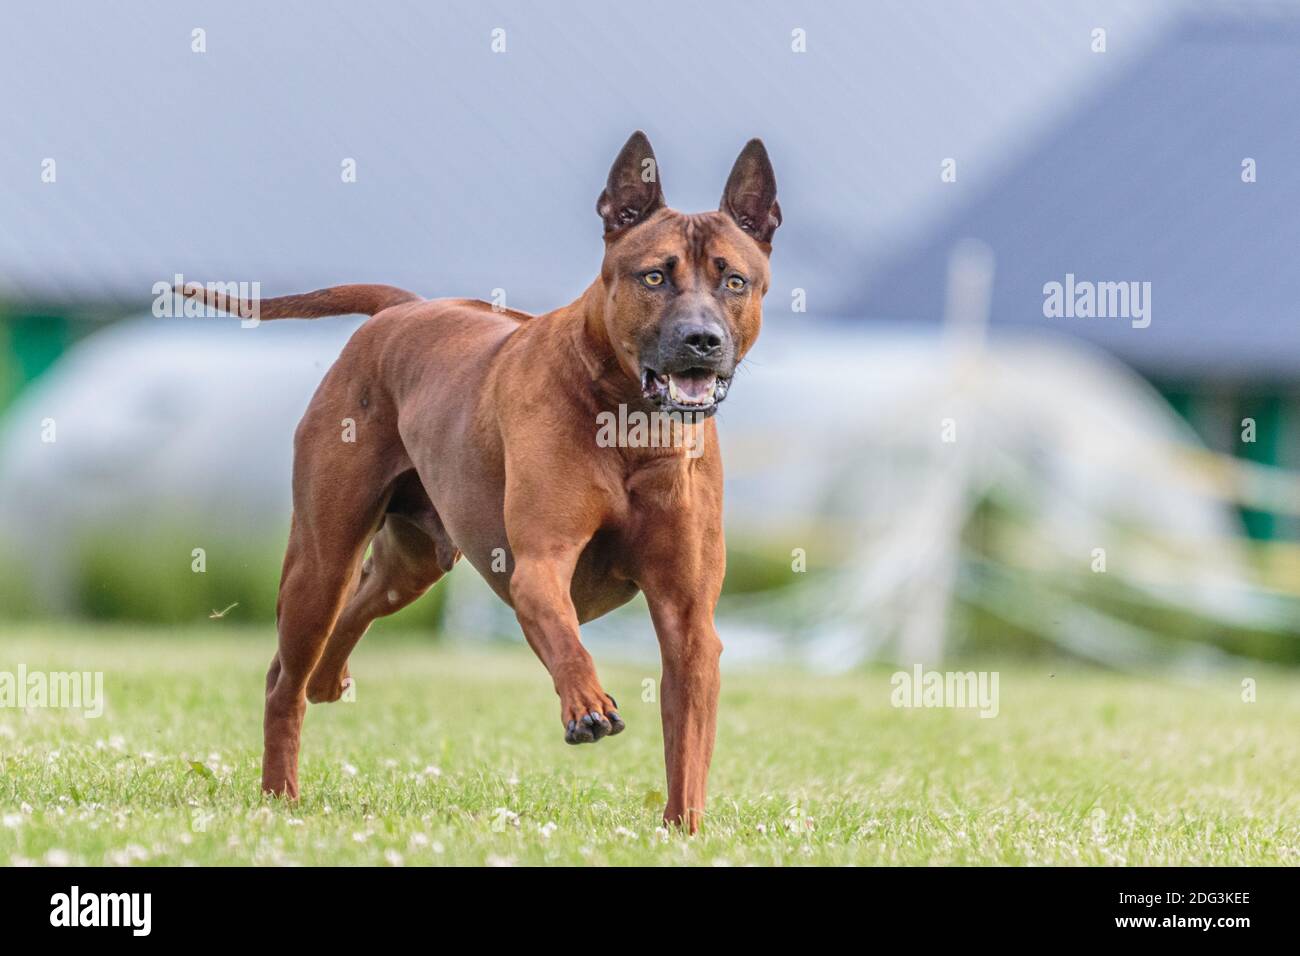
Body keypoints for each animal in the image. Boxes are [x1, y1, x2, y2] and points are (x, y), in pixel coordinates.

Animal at [183, 130, 780, 832]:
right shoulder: (538, 564)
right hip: (320, 556)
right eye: (655, 276)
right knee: (286, 676)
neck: (632, 427)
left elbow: (687, 740)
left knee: (359, 604)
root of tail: (404, 309)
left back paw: (330, 677)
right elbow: (564, 635)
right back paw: (281, 791)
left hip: (413, 560)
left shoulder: (689, 617)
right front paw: (587, 704)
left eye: (734, 280)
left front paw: (684, 829)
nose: (701, 340)